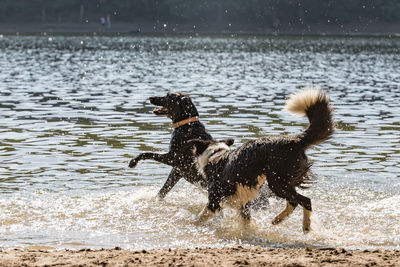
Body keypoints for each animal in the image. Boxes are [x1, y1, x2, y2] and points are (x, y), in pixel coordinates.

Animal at [132, 89, 334, 233]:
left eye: (167, 96)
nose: (151, 97)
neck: (188, 125)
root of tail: (295, 140)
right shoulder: (179, 171)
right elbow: (162, 191)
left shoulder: (175, 160)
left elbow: (147, 153)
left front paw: (133, 162)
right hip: (278, 184)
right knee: (293, 201)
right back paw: (278, 220)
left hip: (277, 182)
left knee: (304, 200)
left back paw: (304, 226)